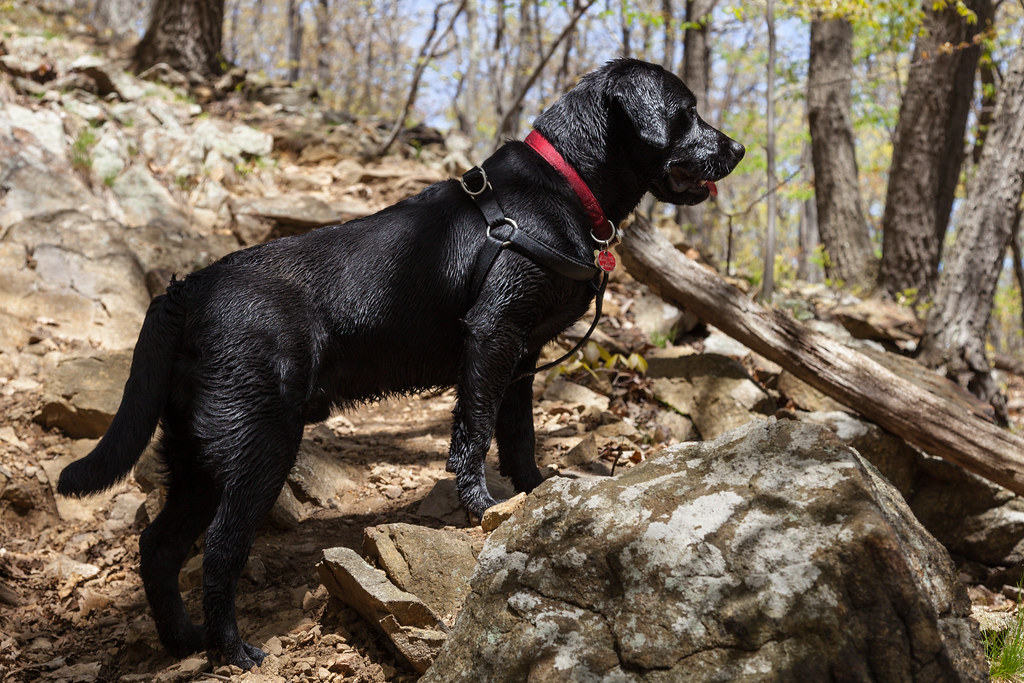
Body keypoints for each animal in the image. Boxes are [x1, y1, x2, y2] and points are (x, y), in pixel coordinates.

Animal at [58, 58, 745, 667]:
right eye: (686, 113)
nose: (737, 148)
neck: (561, 188)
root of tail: (188, 289)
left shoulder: (523, 357)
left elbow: (519, 438)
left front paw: (535, 492)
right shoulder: (492, 336)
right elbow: (473, 434)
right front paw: (480, 507)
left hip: (197, 457)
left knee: (158, 546)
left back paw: (182, 640)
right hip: (259, 447)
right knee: (222, 548)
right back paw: (231, 651)